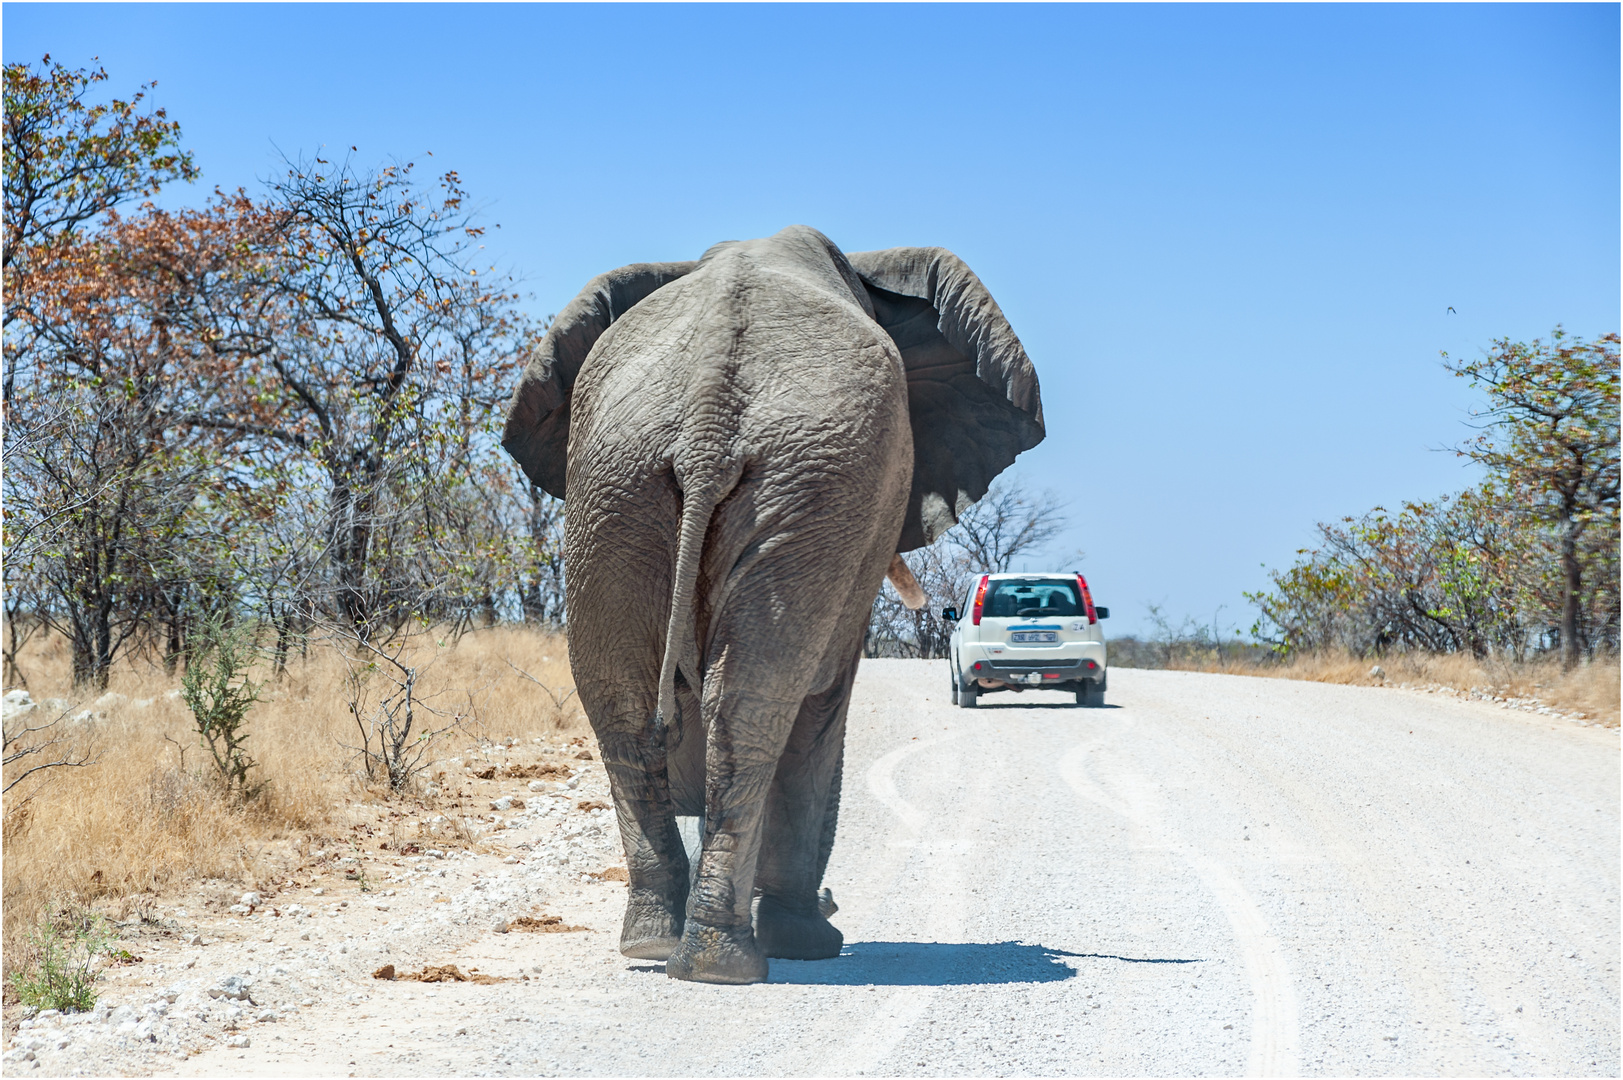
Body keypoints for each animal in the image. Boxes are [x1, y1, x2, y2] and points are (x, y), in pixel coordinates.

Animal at [499, 222, 1045, 980]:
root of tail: (707, 416)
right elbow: (823, 703)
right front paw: (810, 941)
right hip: (798, 486)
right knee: (758, 705)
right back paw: (728, 960)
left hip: (620, 484)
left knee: (628, 705)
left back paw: (658, 943)